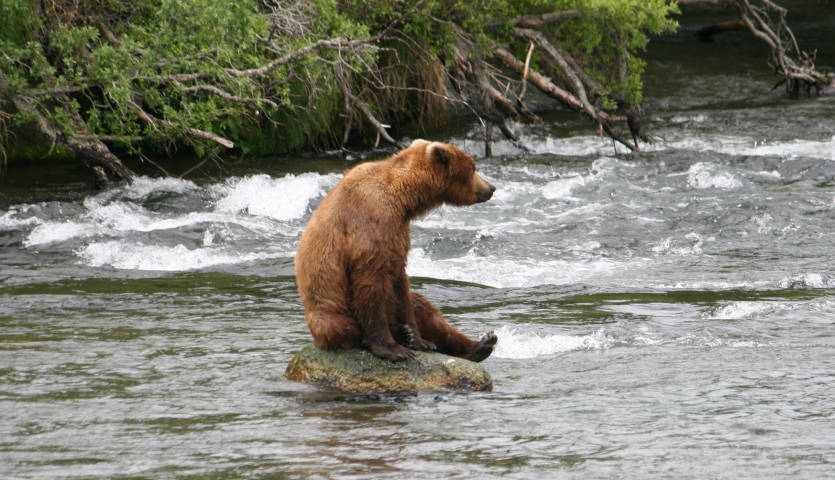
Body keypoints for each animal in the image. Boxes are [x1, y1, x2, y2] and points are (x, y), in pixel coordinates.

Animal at [294, 139, 497, 362]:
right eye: (472, 168)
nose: (491, 187)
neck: (404, 199)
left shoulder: (398, 230)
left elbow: (401, 283)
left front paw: (418, 339)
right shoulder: (372, 220)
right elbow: (370, 281)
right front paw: (394, 349)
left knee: (423, 305)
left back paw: (481, 344)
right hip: (326, 312)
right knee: (341, 327)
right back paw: (398, 334)